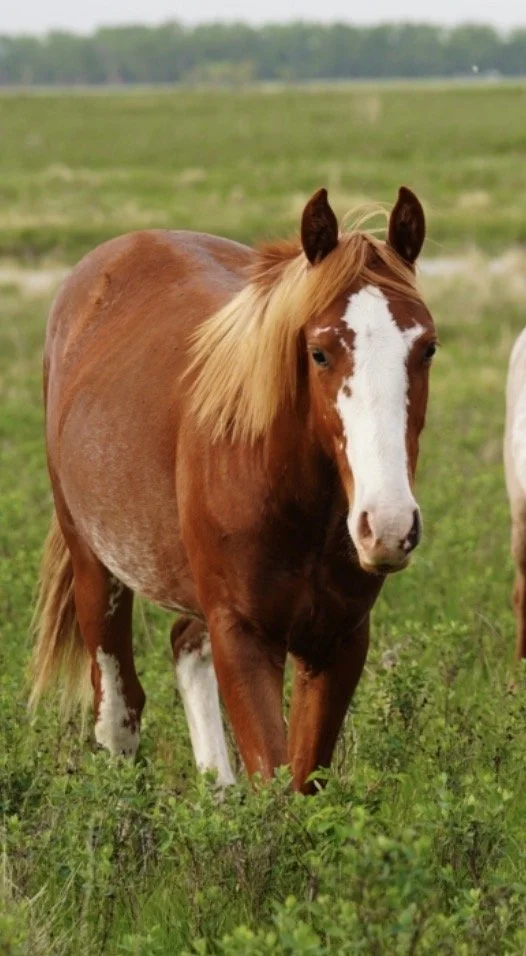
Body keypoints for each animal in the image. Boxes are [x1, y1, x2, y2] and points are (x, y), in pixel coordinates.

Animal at [30, 185, 436, 793]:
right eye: (319, 352)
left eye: (427, 348)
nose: (387, 527)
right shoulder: (243, 637)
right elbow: (273, 780)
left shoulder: (338, 641)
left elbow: (303, 780)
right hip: (94, 568)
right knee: (118, 713)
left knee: (182, 645)